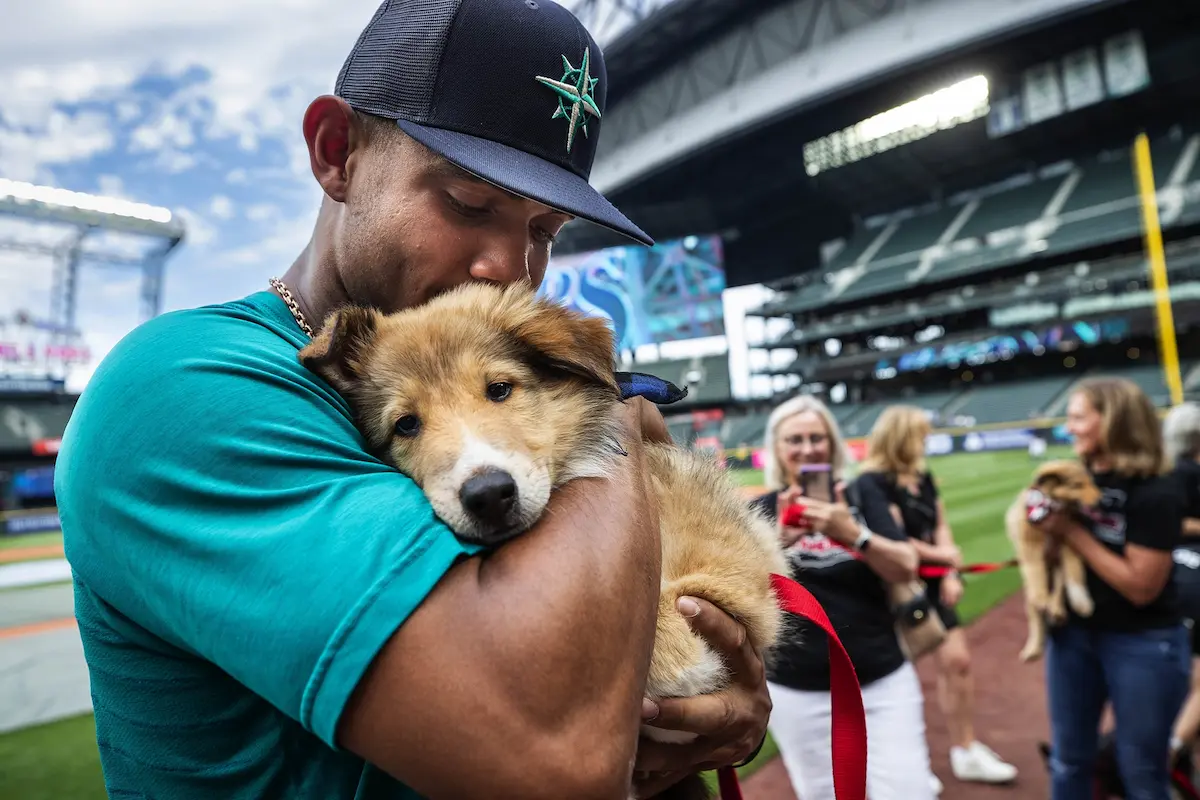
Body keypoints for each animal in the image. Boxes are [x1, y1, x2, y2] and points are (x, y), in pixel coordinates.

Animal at [1008, 460, 1099, 662]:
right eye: (1077, 485)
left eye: (1091, 481)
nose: (1102, 501)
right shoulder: (1031, 547)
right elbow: (1036, 573)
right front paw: (1041, 597)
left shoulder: (1067, 547)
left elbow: (1075, 576)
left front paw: (1082, 603)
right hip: (1030, 597)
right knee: (1036, 618)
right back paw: (1033, 647)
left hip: (1057, 565)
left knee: (1057, 590)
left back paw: (1057, 611)